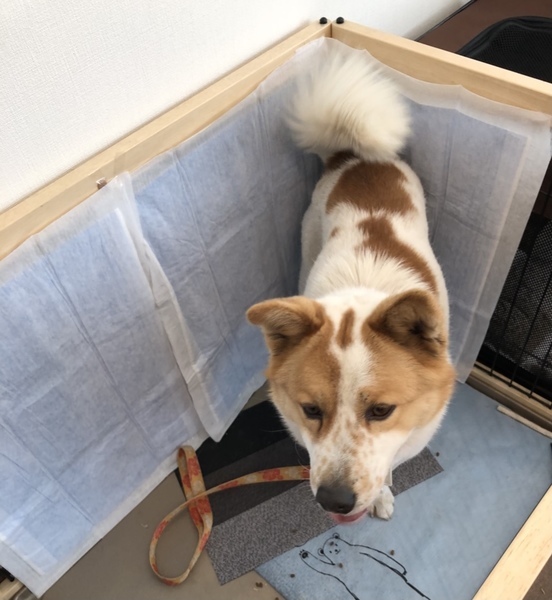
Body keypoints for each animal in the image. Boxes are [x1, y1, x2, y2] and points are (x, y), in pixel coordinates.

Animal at [247, 52, 455, 524]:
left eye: (381, 411)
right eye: (311, 410)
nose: (334, 501)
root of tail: (355, 156)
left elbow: (390, 465)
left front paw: (382, 492)